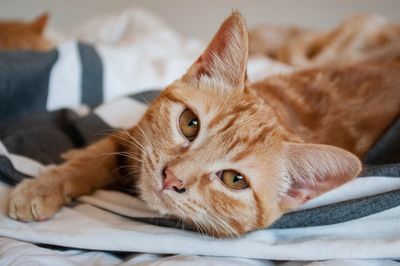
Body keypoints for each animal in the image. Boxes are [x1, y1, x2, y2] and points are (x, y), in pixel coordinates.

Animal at [7, 12, 400, 237]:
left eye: (234, 180)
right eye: (189, 124)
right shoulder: (133, 138)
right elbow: (91, 158)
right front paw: (42, 186)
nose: (172, 178)